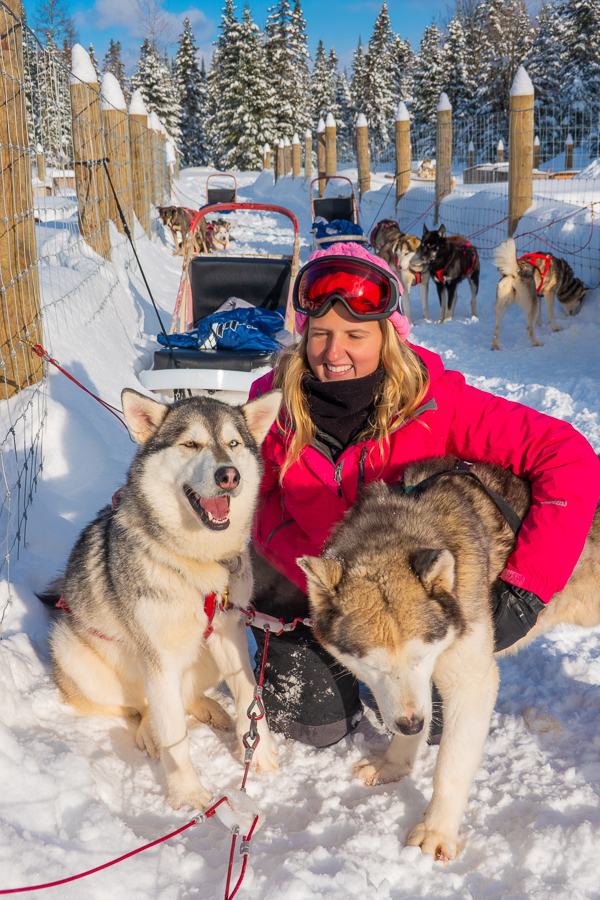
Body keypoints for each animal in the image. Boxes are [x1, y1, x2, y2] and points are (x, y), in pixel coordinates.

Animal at [46, 390, 282, 812]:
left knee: (185, 698)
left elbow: (246, 693)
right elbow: (174, 736)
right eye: (190, 444)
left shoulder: (230, 631)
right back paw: (149, 732)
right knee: (140, 708)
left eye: (233, 443)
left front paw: (261, 749)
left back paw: (210, 709)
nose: (229, 476)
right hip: (74, 652)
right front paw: (188, 794)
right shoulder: (159, 657)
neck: (196, 561)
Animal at [300, 460, 600, 860]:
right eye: (373, 666)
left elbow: (451, 766)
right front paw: (394, 763)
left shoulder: (469, 681)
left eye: (420, 655)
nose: (410, 723)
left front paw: (437, 830)